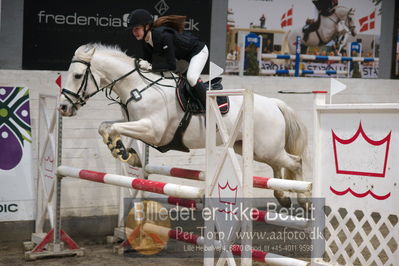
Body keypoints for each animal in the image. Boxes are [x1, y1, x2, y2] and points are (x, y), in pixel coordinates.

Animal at [58, 44, 310, 208]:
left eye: (78, 76)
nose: (62, 107)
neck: (138, 87)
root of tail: (274, 103)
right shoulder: (135, 122)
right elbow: (105, 126)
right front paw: (125, 152)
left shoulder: (152, 130)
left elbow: (113, 129)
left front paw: (124, 152)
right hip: (251, 148)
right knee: (277, 166)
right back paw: (282, 196)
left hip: (265, 147)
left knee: (295, 162)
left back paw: (304, 200)